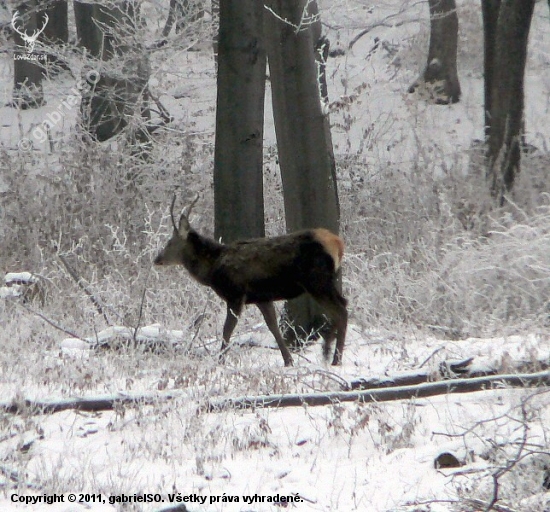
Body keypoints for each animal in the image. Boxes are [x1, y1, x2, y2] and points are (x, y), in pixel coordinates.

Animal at [153, 194, 348, 366]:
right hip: (327, 280)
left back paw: (333, 356)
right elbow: (273, 326)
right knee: (343, 305)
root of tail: (337, 243)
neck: (211, 270)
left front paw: (220, 361)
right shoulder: (262, 298)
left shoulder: (235, 294)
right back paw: (331, 351)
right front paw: (288, 361)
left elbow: (227, 330)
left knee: (340, 310)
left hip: (317, 281)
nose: (157, 259)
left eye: (170, 242)